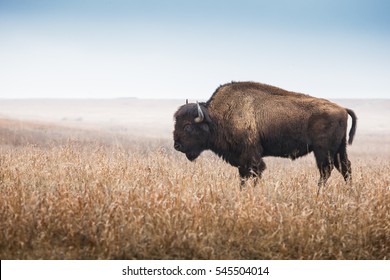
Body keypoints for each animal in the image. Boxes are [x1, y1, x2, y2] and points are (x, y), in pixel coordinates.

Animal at [174, 80, 356, 191]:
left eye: (188, 126)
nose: (177, 146)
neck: (216, 117)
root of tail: (342, 109)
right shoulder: (242, 159)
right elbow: (243, 176)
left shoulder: (251, 156)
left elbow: (254, 173)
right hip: (339, 149)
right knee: (345, 167)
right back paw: (348, 191)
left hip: (323, 151)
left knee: (326, 170)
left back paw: (318, 192)